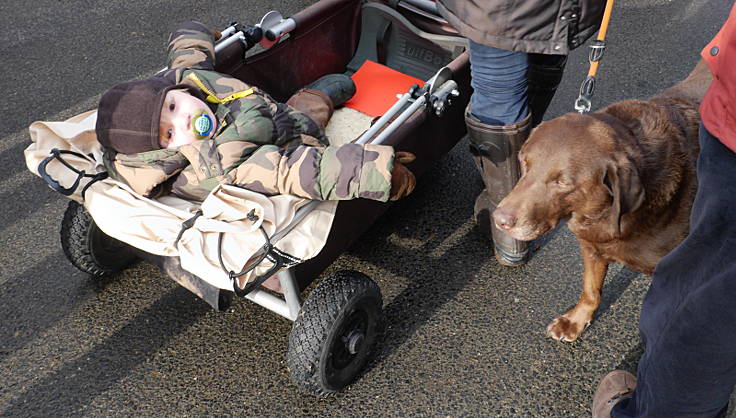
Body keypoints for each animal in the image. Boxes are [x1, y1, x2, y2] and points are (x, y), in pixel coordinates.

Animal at [494, 58, 712, 342]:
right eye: (524, 163)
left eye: (562, 182)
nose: (499, 220)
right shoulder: (591, 247)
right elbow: (591, 289)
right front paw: (576, 321)